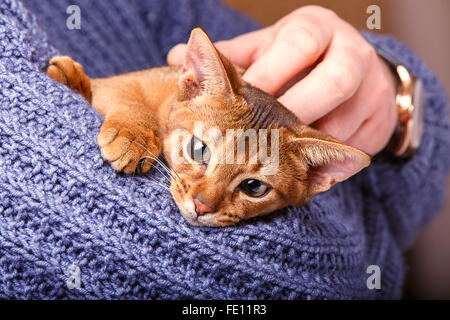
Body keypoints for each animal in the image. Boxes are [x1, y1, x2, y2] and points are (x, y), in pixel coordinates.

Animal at [45, 28, 370, 228]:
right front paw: (133, 135)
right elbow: (126, 97)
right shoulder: (124, 84)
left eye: (254, 187)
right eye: (199, 150)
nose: (201, 207)